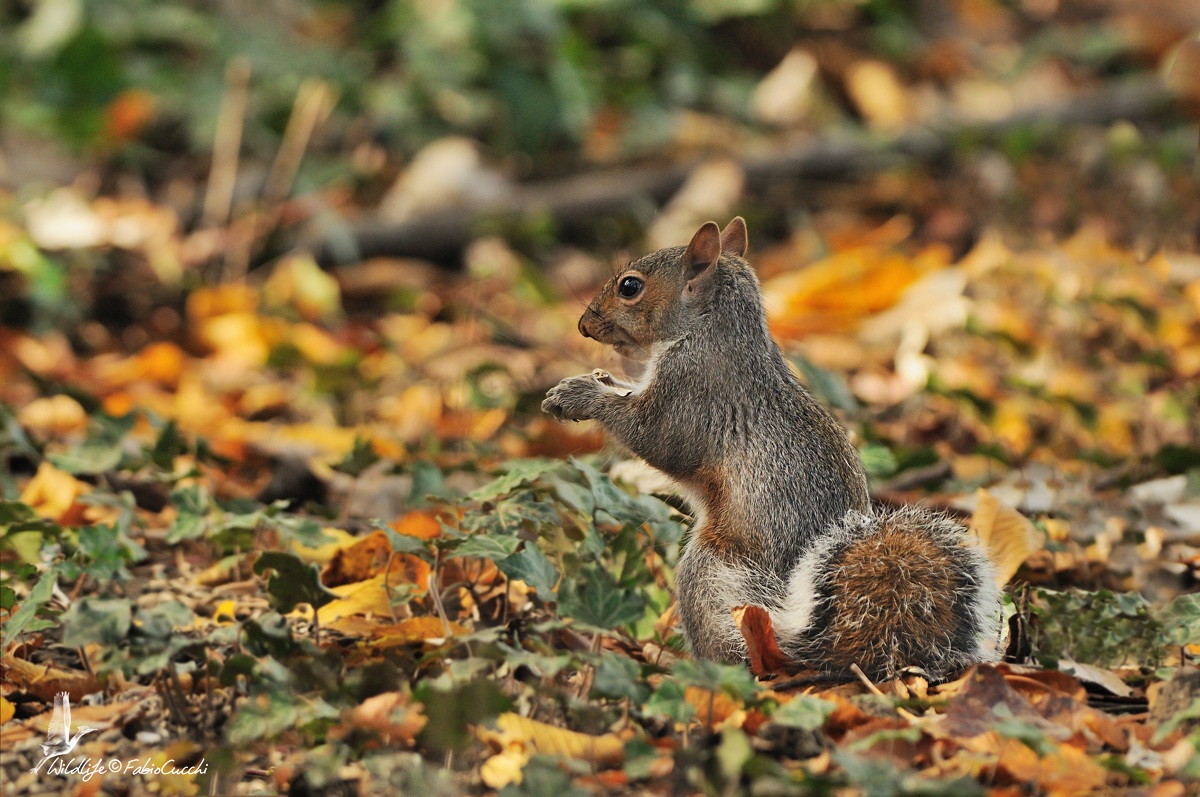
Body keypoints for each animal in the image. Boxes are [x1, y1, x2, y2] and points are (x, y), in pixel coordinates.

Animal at [542, 217, 1002, 682]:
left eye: (630, 286)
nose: (583, 325)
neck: (710, 329)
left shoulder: (691, 395)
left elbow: (653, 437)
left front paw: (581, 395)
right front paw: (597, 380)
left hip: (712, 570)